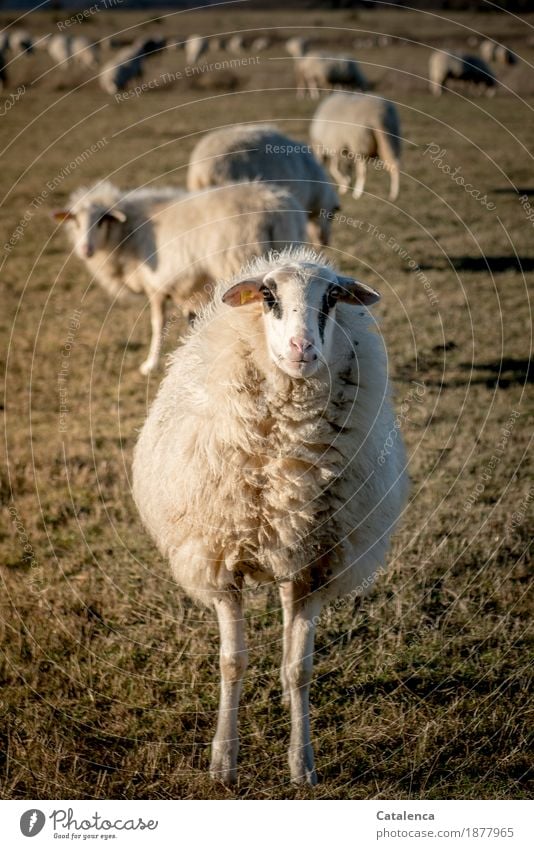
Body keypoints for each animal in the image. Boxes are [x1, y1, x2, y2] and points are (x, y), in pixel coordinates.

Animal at [54, 180, 308, 374]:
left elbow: (157, 324)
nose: (85, 250)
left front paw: (150, 365)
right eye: (76, 222)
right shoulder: (189, 291)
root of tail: (273, 206)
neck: (127, 233)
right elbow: (193, 321)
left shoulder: (157, 286)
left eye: (102, 221)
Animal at [133, 247, 410, 788]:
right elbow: (232, 663)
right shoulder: (221, 565)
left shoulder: (316, 566)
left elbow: (301, 668)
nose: (302, 348)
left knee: (288, 637)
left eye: (332, 297)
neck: (290, 459)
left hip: (295, 549)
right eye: (268, 296)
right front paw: (223, 762)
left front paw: (302, 764)